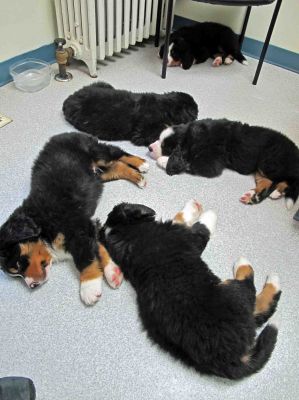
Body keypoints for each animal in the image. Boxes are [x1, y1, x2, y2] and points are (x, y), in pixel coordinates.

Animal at [0, 133, 149, 304]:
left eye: (18, 264)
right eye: (16, 273)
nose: (32, 285)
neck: (41, 222)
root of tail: (61, 135)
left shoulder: (78, 229)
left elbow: (85, 260)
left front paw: (89, 287)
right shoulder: (89, 227)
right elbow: (99, 247)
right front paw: (113, 273)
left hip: (97, 152)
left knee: (118, 154)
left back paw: (142, 164)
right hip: (99, 175)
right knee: (118, 167)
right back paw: (138, 178)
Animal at [62, 81, 199, 145]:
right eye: (194, 109)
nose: (198, 110)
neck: (166, 107)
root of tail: (69, 99)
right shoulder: (143, 132)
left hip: (103, 84)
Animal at [101, 202, 282, 380]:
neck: (128, 236)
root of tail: (230, 359)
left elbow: (180, 218)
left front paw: (193, 206)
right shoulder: (187, 237)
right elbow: (201, 227)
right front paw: (206, 212)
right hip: (232, 291)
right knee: (253, 292)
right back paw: (258, 270)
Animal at [149, 119, 299, 208]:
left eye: (165, 147)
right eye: (158, 139)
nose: (150, 147)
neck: (193, 137)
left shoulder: (209, 163)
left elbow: (188, 163)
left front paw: (163, 160)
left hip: (269, 161)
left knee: (289, 179)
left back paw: (276, 192)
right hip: (261, 169)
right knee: (266, 182)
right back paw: (252, 196)